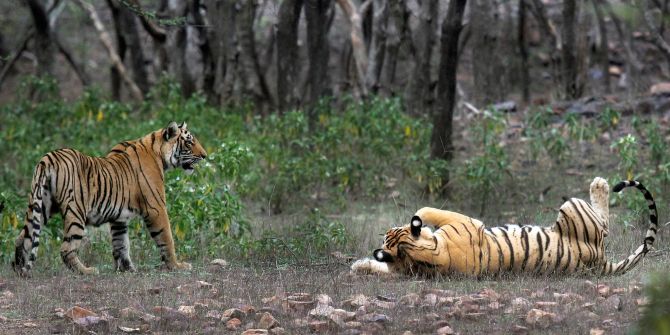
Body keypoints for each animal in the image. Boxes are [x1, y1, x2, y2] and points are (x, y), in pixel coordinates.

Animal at [12, 122, 207, 276]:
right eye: (189, 142)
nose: (205, 155)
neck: (158, 153)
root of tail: (49, 158)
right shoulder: (156, 208)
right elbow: (167, 238)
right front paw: (177, 266)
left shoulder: (119, 218)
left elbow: (121, 244)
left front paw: (127, 269)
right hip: (75, 211)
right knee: (66, 248)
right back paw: (87, 271)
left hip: (41, 205)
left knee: (23, 237)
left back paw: (18, 269)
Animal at [354, 178, 660, 278]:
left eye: (388, 233)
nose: (387, 230)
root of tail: (600, 262)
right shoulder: (465, 222)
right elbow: (428, 211)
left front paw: (359, 265)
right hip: (572, 206)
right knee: (605, 224)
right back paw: (600, 184)